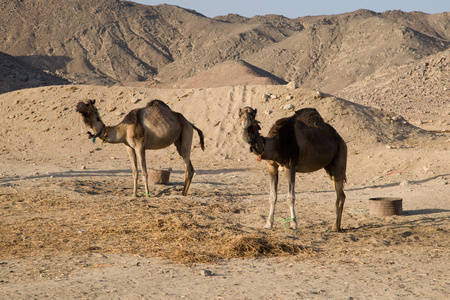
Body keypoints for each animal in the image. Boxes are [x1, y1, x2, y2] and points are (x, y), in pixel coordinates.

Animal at [76, 99, 205, 197]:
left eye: (86, 103)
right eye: (80, 101)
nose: (76, 106)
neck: (123, 129)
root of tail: (190, 123)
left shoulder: (140, 146)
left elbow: (144, 172)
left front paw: (147, 194)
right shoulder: (129, 147)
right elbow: (134, 172)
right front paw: (134, 194)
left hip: (186, 133)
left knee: (187, 168)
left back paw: (182, 194)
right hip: (179, 141)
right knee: (190, 167)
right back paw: (184, 193)